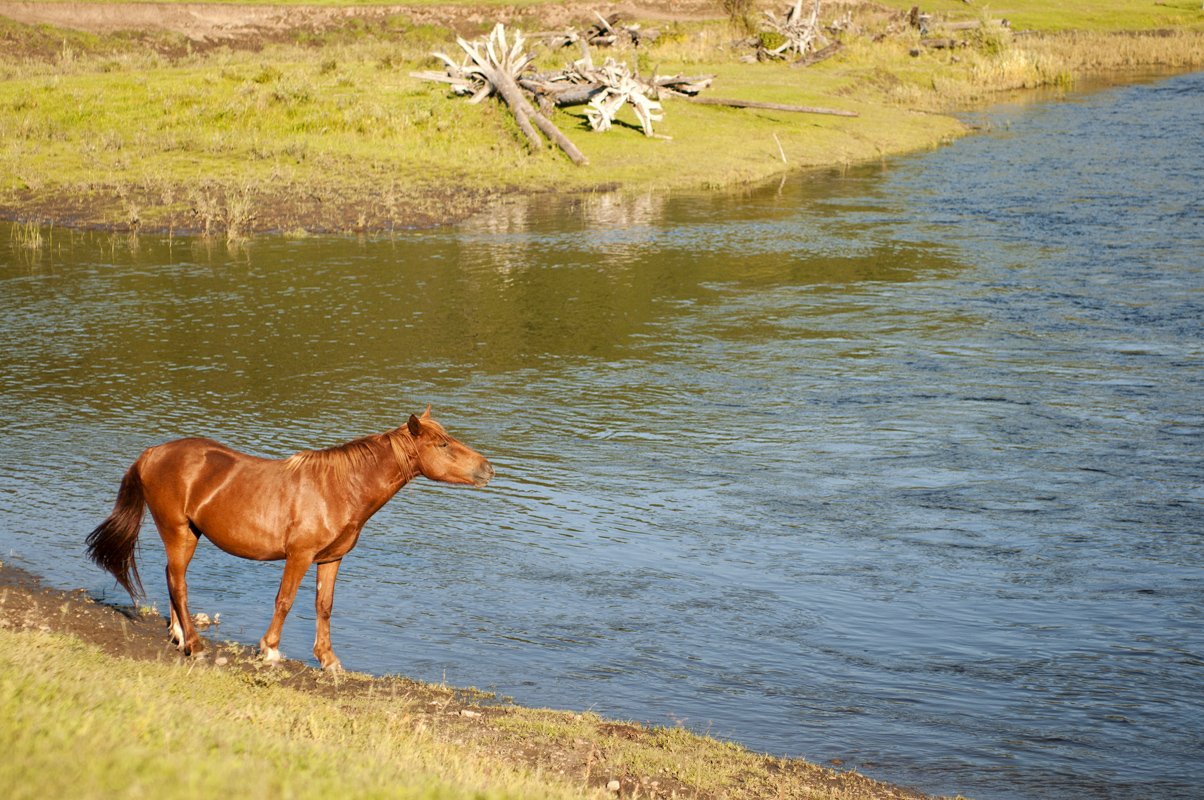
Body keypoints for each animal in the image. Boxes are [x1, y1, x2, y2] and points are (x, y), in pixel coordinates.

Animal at [87, 407, 493, 669]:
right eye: (442, 445)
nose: (488, 469)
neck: (339, 488)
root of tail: (151, 454)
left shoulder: (331, 558)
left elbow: (324, 606)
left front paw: (328, 659)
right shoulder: (300, 555)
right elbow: (284, 601)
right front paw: (269, 650)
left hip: (188, 533)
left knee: (173, 577)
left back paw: (180, 636)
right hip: (177, 531)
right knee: (178, 582)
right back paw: (196, 645)